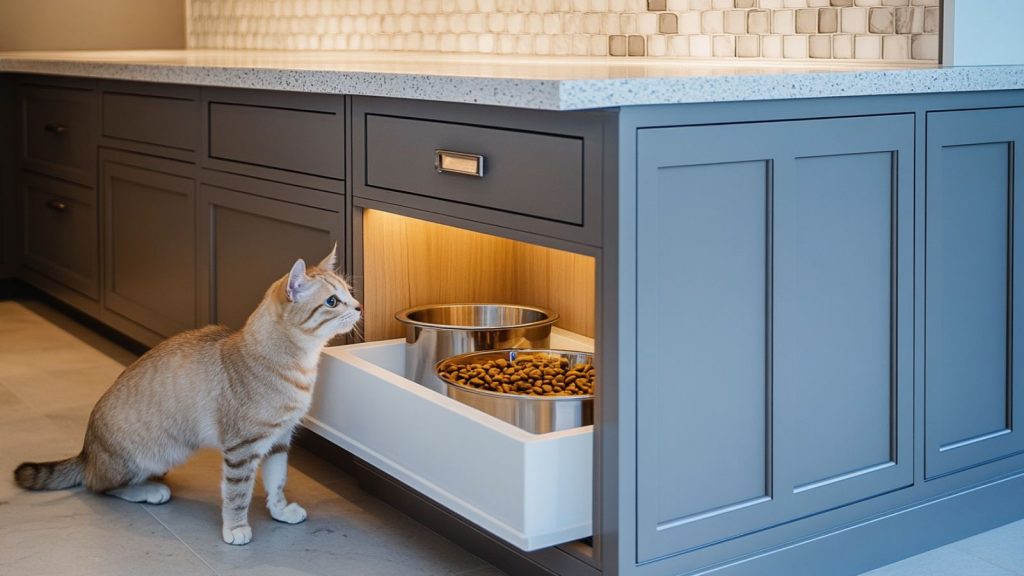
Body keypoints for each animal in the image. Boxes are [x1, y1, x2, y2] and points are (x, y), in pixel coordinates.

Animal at [14, 245, 362, 541]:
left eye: (349, 292)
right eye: (333, 301)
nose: (359, 307)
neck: (296, 364)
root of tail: (86, 449)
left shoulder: (279, 440)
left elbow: (277, 482)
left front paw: (280, 511)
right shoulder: (241, 448)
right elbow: (237, 494)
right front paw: (236, 528)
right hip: (153, 456)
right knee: (97, 485)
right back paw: (149, 490)